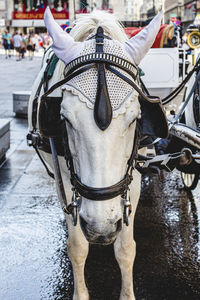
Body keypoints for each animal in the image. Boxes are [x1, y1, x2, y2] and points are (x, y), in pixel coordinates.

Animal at [27, 7, 164, 300]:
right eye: (64, 119)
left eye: (136, 119)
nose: (101, 229)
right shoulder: (66, 182)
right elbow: (77, 246)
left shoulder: (132, 177)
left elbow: (125, 248)